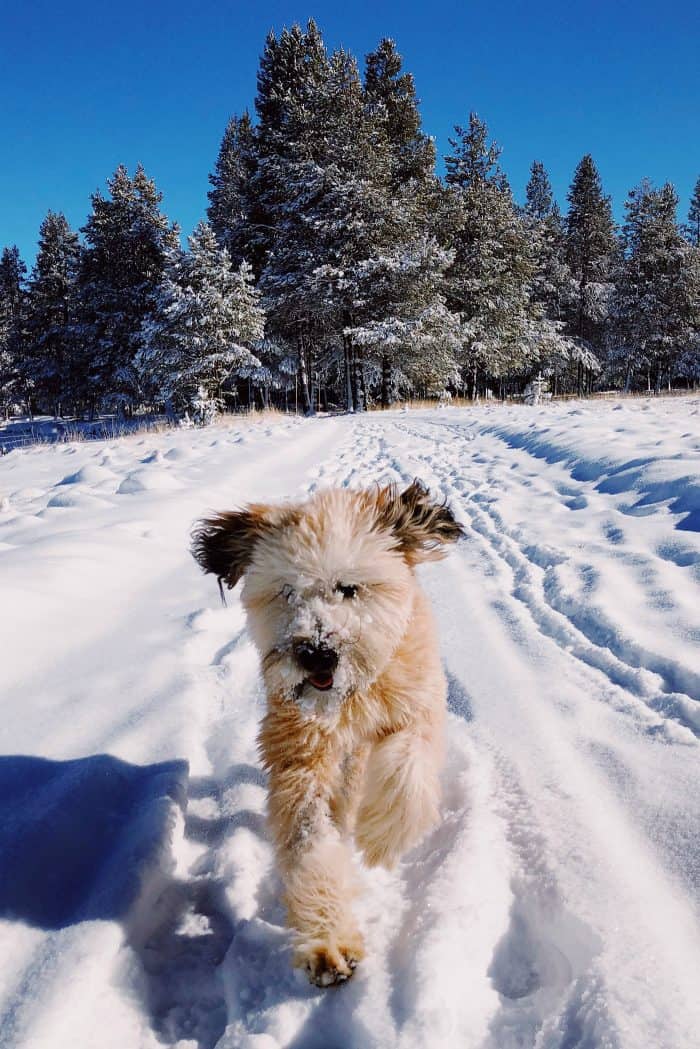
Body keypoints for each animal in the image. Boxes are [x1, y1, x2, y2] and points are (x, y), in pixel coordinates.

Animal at [193, 480, 465, 986]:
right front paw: (328, 940)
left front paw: (382, 838)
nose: (316, 653)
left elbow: (408, 767)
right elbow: (308, 838)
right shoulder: (301, 750)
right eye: (286, 591)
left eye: (349, 588)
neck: (353, 695)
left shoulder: (418, 705)